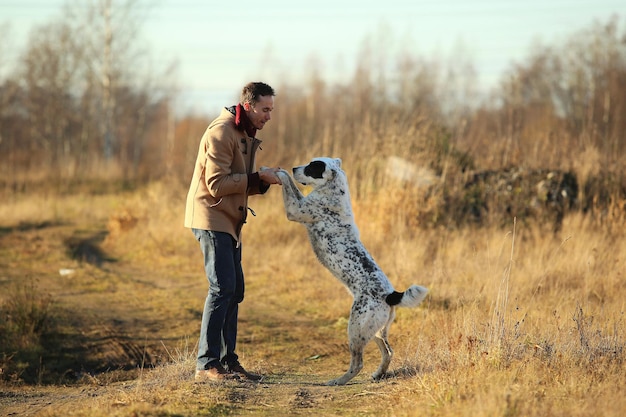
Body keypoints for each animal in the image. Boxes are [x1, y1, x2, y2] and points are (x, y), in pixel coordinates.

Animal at [276, 158, 426, 386]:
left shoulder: (295, 209)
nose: (294, 167)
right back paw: (378, 374)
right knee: (388, 352)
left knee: (358, 363)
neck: (334, 190)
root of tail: (390, 295)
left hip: (355, 329)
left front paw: (278, 172)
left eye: (312, 167)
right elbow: (294, 187)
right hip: (375, 332)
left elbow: (287, 184)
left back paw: (337, 381)